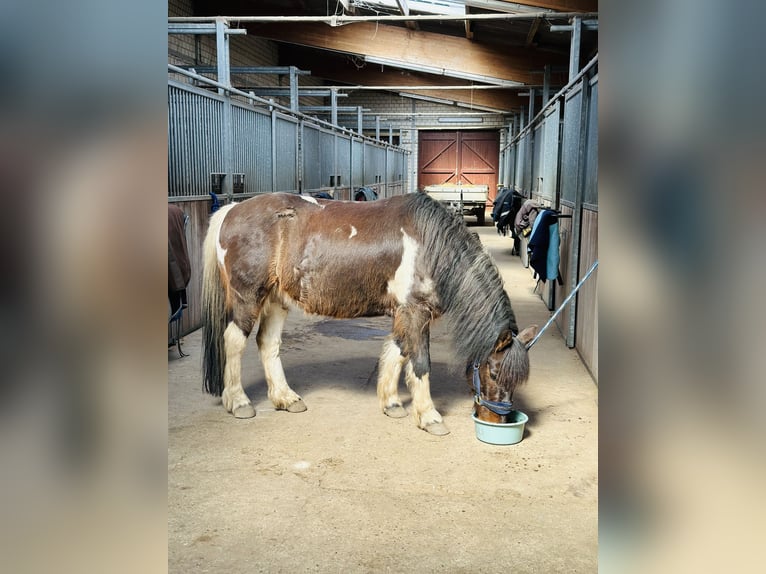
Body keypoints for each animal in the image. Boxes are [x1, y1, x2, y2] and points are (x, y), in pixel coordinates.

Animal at [204, 194, 540, 436]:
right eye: (493, 373)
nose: (496, 420)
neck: (434, 247)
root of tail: (231, 210)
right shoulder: (415, 312)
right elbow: (420, 362)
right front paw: (429, 417)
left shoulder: (404, 314)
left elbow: (397, 353)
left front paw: (392, 404)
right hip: (249, 296)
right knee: (234, 341)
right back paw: (239, 402)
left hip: (276, 299)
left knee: (268, 343)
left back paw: (286, 398)